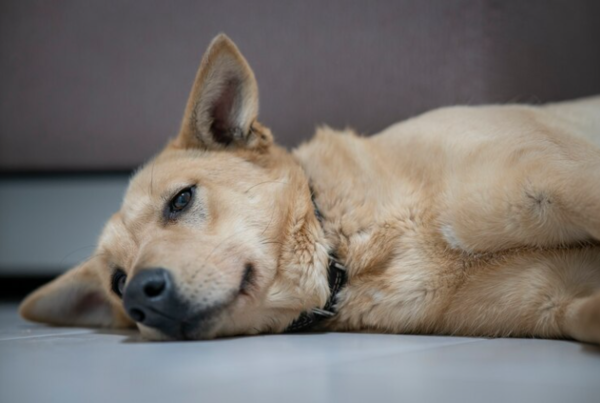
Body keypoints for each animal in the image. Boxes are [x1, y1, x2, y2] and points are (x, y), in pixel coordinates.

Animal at [18, 34, 600, 344]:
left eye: (180, 200)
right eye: (117, 283)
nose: (139, 295)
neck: (351, 245)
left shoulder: (558, 180)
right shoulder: (556, 300)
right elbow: (579, 311)